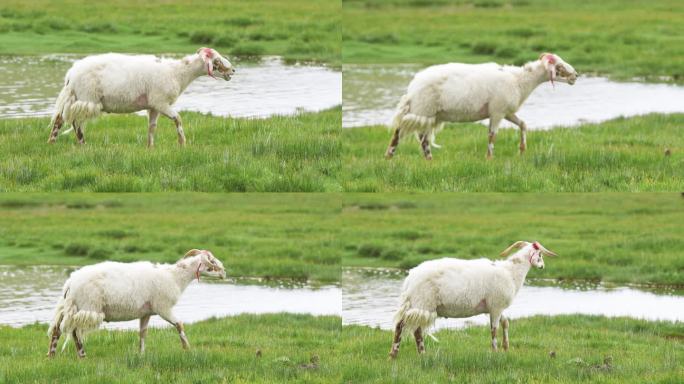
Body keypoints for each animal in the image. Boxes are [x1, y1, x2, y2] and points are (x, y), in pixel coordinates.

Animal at [46, 248, 227, 358]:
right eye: (212, 261)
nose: (224, 273)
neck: (174, 277)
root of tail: (70, 282)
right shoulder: (163, 307)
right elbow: (179, 325)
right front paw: (187, 349)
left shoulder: (146, 312)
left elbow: (143, 333)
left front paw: (141, 354)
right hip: (87, 307)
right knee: (75, 332)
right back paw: (82, 355)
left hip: (71, 306)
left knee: (57, 329)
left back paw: (51, 355)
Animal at [47, 46, 235, 146]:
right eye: (217, 60)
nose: (233, 71)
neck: (177, 73)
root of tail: (71, 74)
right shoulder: (161, 102)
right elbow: (178, 119)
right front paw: (183, 144)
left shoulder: (153, 106)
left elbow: (151, 128)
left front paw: (150, 148)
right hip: (87, 99)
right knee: (76, 123)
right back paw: (82, 145)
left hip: (75, 97)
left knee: (60, 119)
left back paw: (52, 143)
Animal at [384, 53, 576, 159]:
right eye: (558, 66)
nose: (575, 75)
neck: (519, 81)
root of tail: (412, 87)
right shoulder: (497, 111)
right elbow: (492, 136)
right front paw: (489, 158)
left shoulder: (506, 112)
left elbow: (523, 124)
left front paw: (522, 150)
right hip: (423, 111)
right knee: (403, 134)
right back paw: (391, 157)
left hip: (427, 114)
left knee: (419, 138)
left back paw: (422, 161)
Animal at [390, 242, 556, 358]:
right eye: (540, 254)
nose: (542, 266)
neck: (511, 272)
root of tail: (410, 278)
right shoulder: (496, 306)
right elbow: (494, 329)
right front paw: (495, 351)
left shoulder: (494, 307)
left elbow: (505, 322)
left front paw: (506, 347)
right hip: (423, 302)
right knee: (407, 327)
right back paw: (403, 354)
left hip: (417, 304)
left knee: (408, 327)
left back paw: (407, 355)